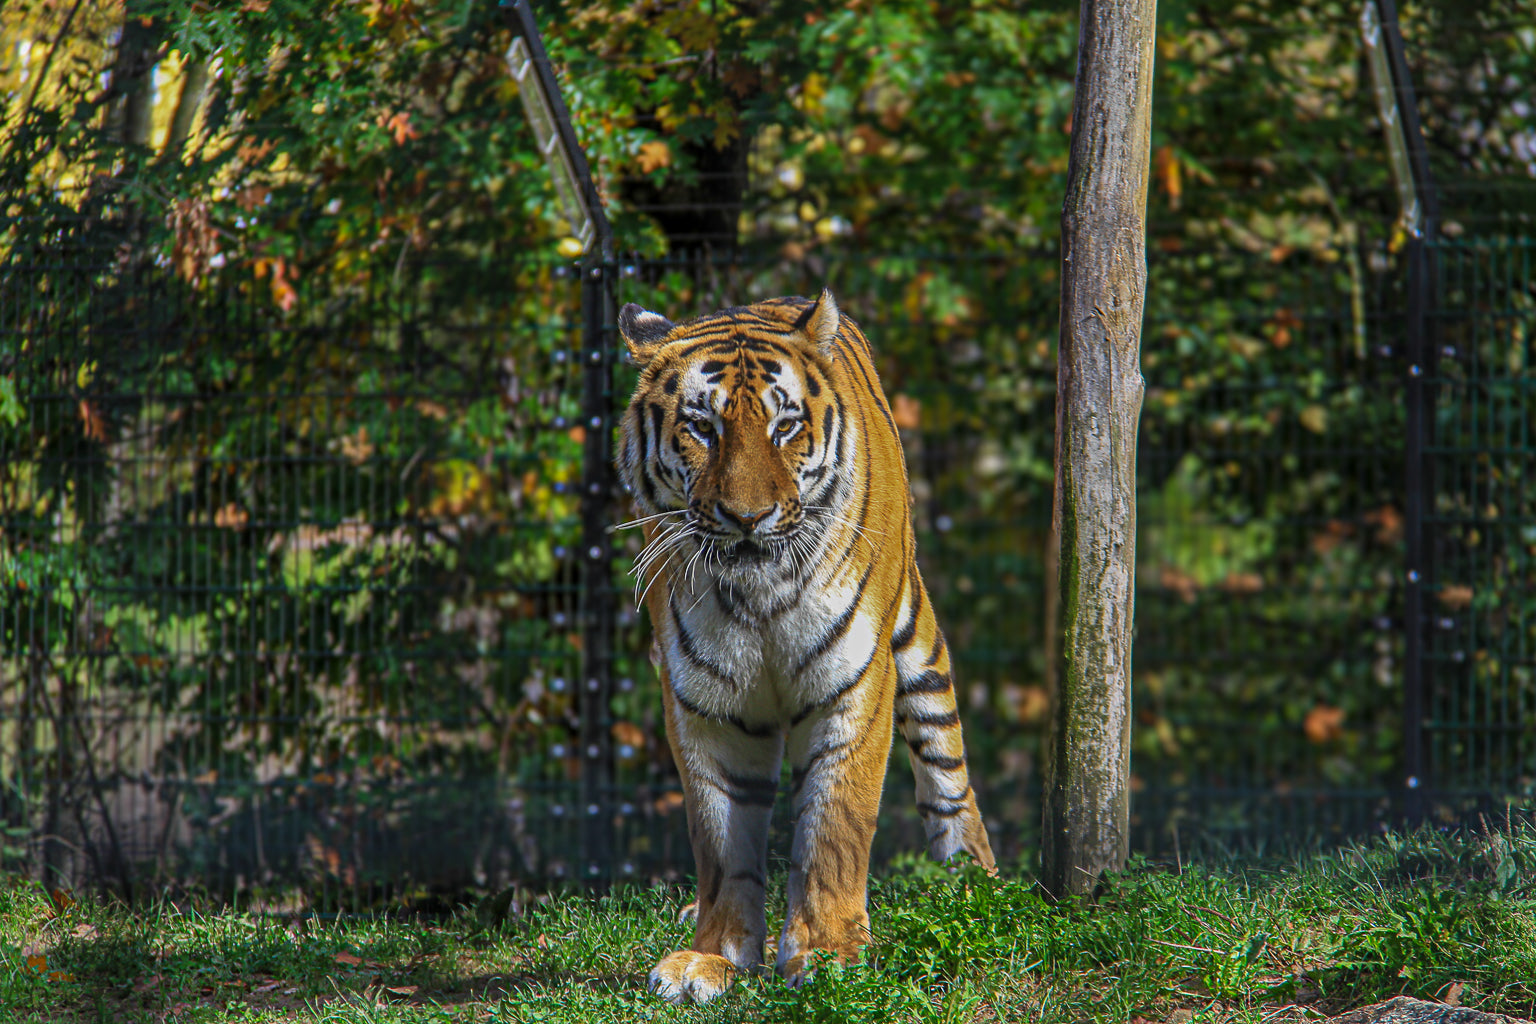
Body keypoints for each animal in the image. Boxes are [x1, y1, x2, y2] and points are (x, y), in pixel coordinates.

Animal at [616, 289, 996, 1004]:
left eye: (784, 426)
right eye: (702, 428)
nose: (747, 517)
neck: (757, 591)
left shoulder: (854, 682)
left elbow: (835, 823)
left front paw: (827, 952)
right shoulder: (702, 703)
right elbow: (720, 839)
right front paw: (713, 957)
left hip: (916, 637)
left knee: (945, 761)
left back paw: (972, 881)